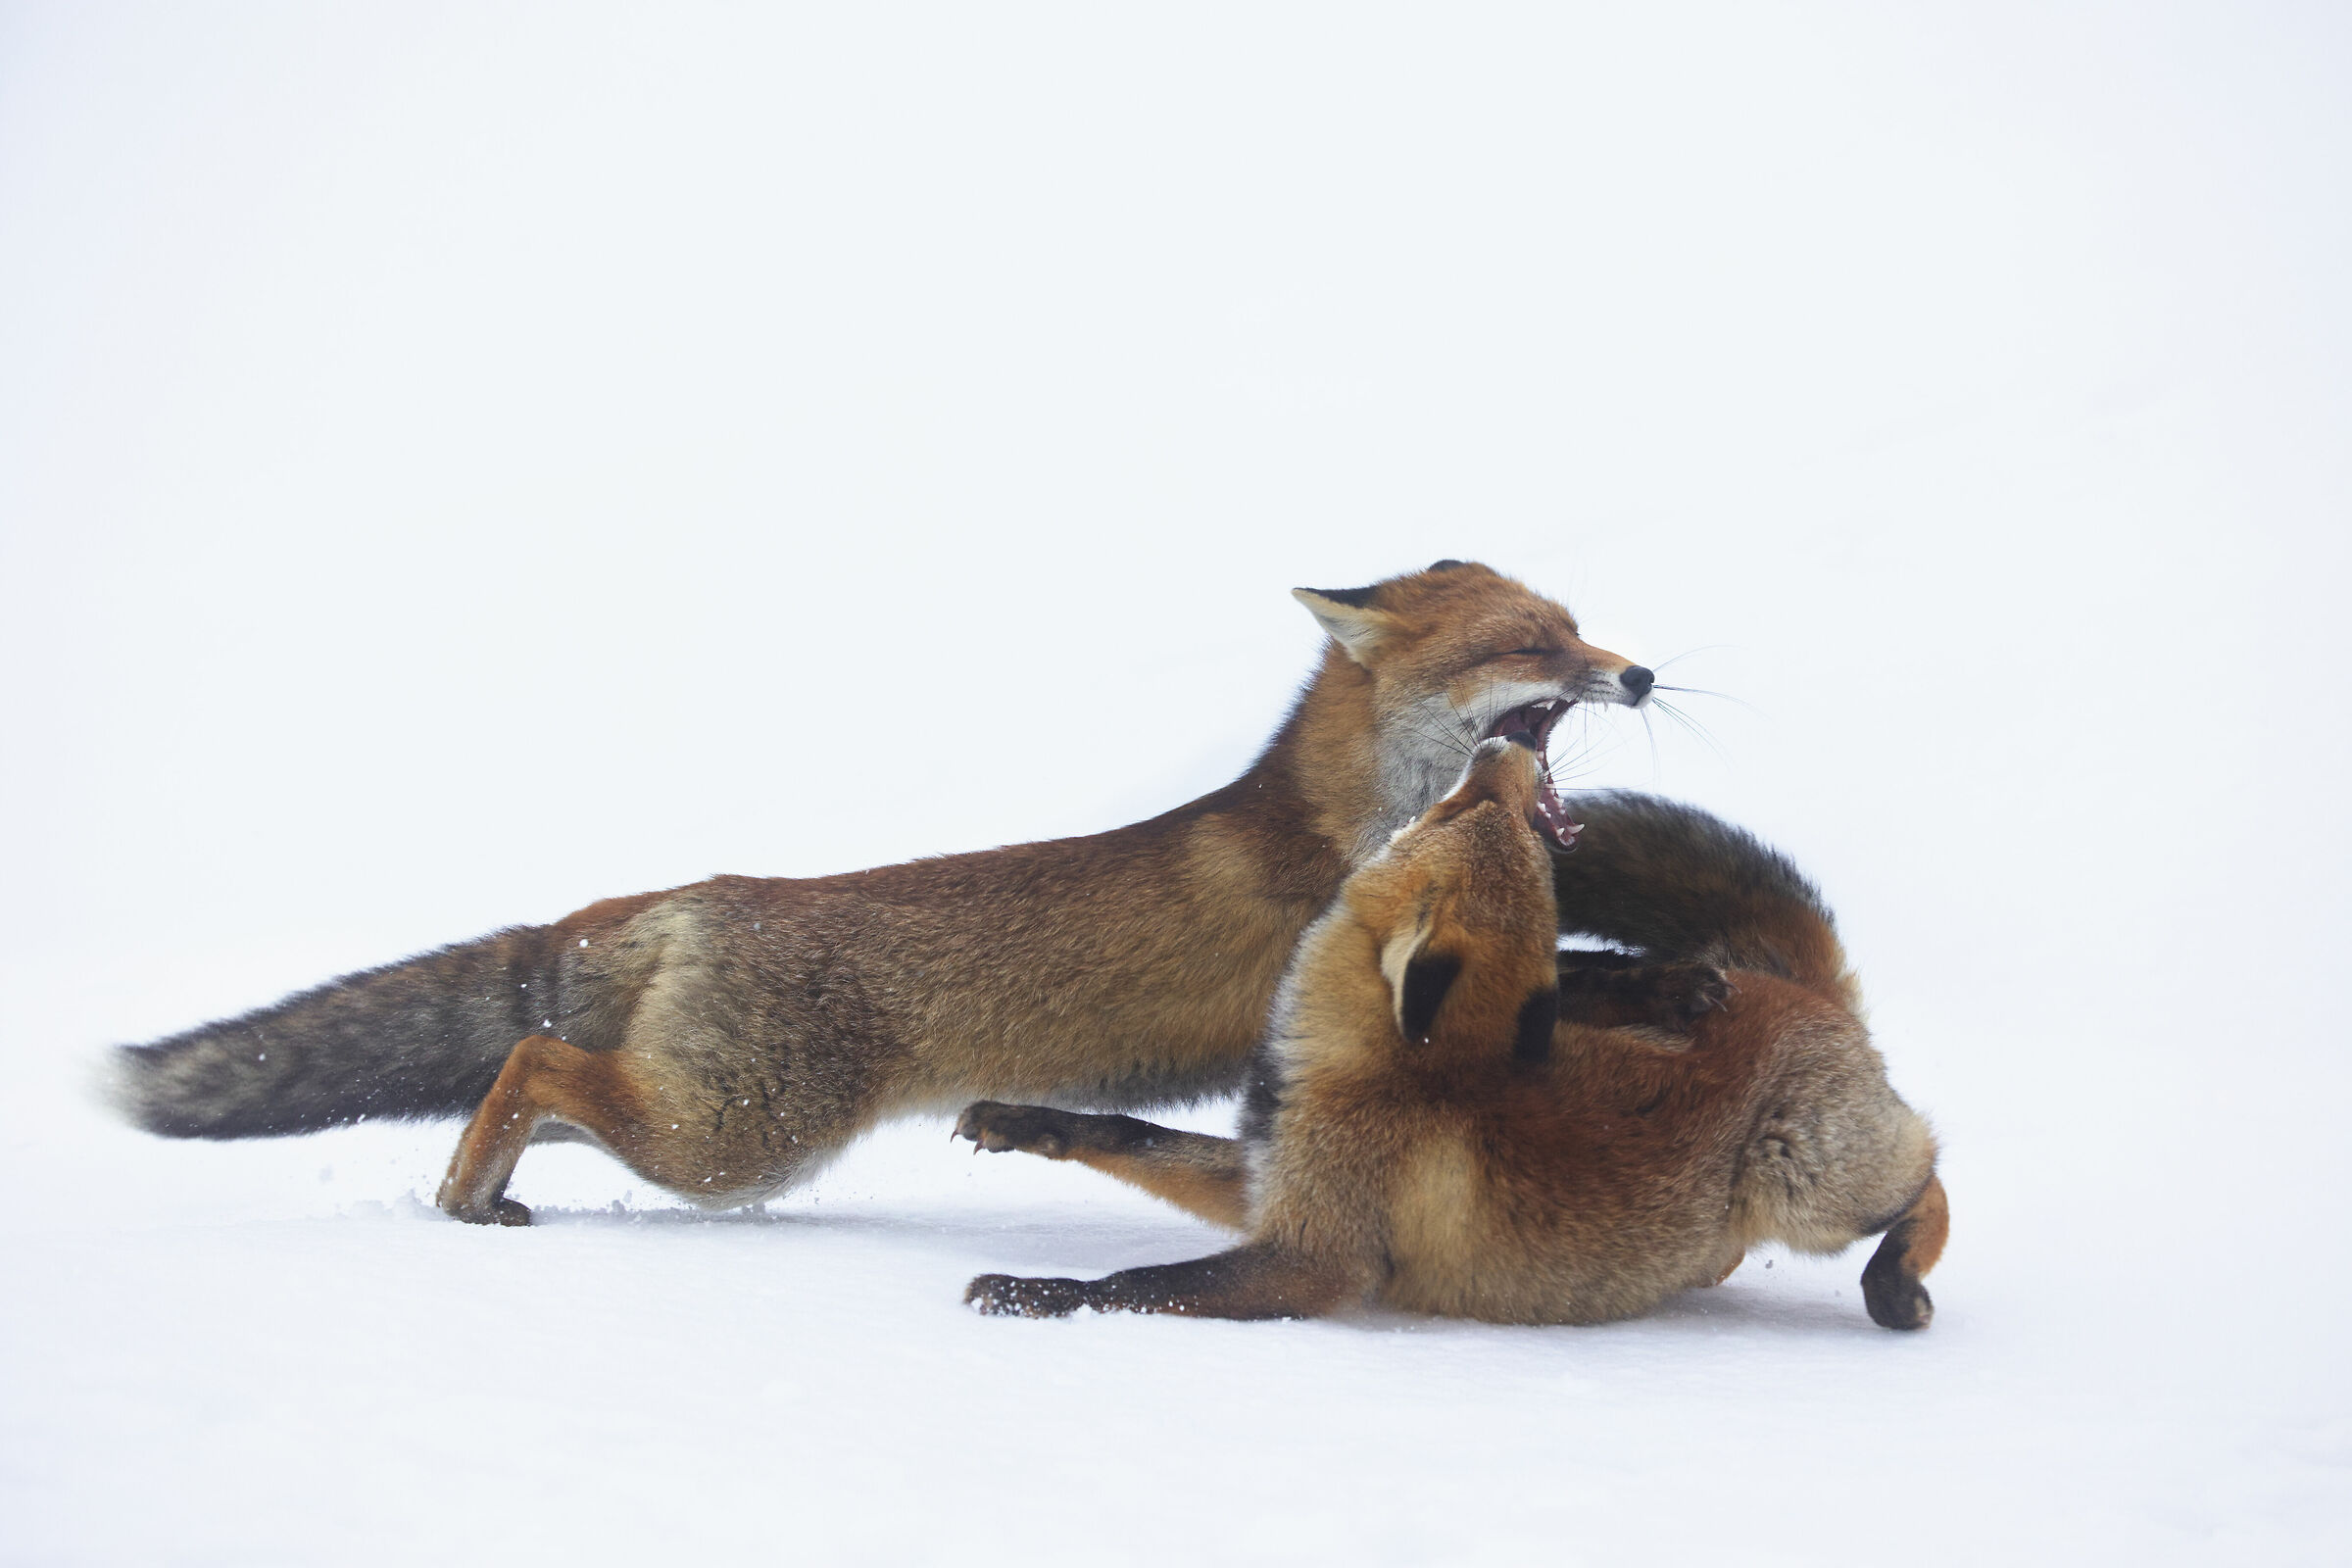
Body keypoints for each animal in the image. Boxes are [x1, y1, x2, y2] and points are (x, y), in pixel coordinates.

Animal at [110, 561, 1657, 1223]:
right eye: (1530, 643)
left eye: (1581, 628)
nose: (1642, 672)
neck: (1350, 818)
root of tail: (689, 894)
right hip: (738, 1141)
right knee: (536, 1063)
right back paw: (469, 1192)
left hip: (699, 1121)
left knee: (528, 1079)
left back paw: (468, 1191)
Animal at [956, 735, 1948, 1330]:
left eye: (1462, 811)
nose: (1508, 745)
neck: (1376, 1072)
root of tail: (1795, 991)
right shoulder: (1271, 1179)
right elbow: (1127, 1134)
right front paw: (1018, 1121)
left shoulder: (1314, 1257)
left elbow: (1140, 1286)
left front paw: (1033, 1292)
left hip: (1807, 1182)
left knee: (1931, 1175)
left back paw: (1895, 1284)